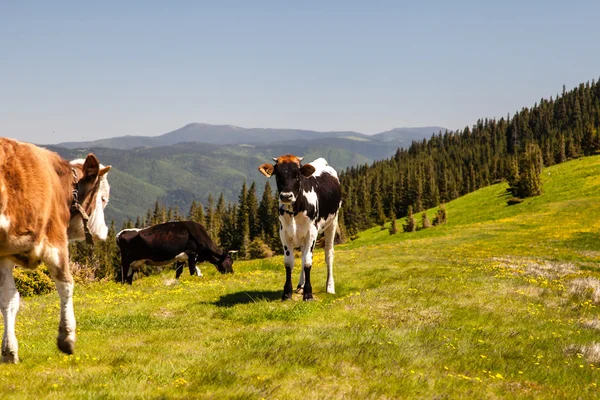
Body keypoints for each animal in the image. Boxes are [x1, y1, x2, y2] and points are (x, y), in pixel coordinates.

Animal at [0, 139, 111, 364]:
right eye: (103, 199)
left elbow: (9, 298)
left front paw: (9, 351)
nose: (104, 232)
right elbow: (66, 284)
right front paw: (67, 337)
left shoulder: (5, 254)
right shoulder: (55, 240)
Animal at [258, 155, 342, 302]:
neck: (295, 209)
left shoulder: (312, 233)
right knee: (303, 254)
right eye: (277, 175)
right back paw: (301, 285)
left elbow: (308, 262)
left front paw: (308, 294)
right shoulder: (284, 233)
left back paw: (330, 287)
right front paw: (287, 293)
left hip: (332, 222)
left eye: (297, 175)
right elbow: (289, 262)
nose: (286, 196)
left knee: (329, 254)